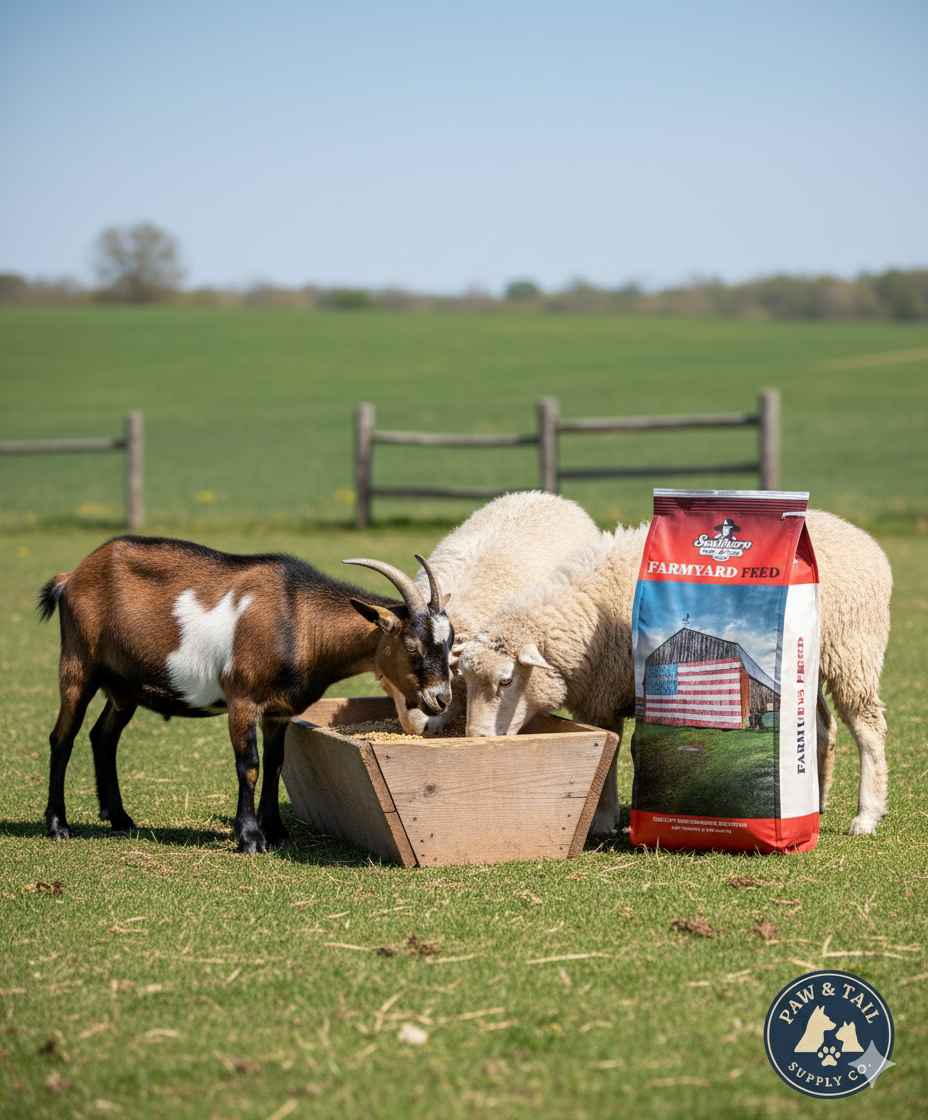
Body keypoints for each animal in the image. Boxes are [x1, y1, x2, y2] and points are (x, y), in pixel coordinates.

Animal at [37, 535, 452, 852]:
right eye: (412, 646)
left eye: (449, 643)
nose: (441, 699)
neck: (297, 619)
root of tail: (71, 577)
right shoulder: (243, 701)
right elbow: (249, 765)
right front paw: (251, 837)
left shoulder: (278, 710)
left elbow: (276, 763)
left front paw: (277, 831)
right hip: (78, 666)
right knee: (62, 738)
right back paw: (58, 825)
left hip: (123, 687)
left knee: (103, 736)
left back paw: (119, 817)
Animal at [459, 509, 892, 837]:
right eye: (466, 682)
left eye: (505, 681)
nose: (475, 740)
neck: (584, 610)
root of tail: (864, 539)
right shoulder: (603, 698)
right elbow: (612, 752)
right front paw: (613, 816)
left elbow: (617, 755)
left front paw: (608, 819)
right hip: (806, 666)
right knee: (820, 728)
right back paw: (809, 803)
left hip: (853, 651)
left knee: (869, 728)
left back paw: (866, 816)